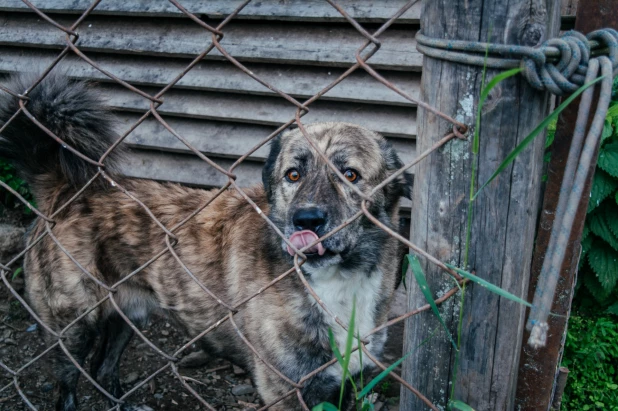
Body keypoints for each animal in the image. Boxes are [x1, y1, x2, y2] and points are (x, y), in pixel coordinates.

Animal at [1, 75, 414, 411]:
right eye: (293, 175)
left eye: (350, 174)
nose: (306, 220)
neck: (338, 281)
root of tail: (65, 189)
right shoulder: (283, 389)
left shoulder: (344, 384)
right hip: (73, 327)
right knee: (69, 385)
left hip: (126, 317)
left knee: (103, 370)